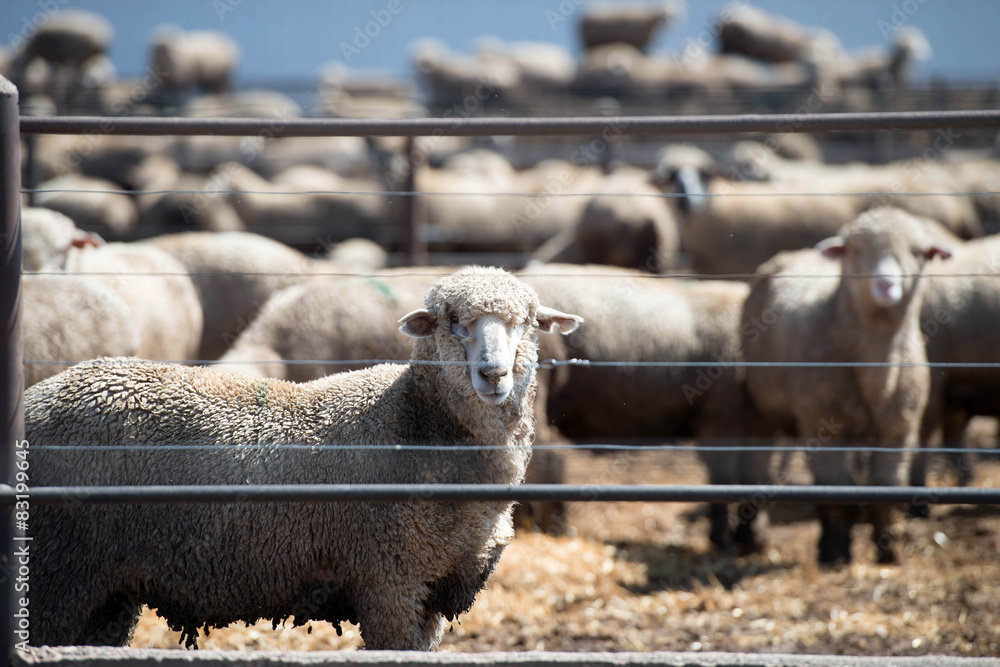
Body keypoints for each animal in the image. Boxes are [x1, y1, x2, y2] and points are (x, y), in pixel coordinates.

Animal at [26, 266, 582, 649]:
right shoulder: (390, 578)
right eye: (451, 322)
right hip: (58, 570)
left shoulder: (434, 591)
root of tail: (40, 397)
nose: (492, 373)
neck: (413, 425)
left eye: (528, 323)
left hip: (107, 592)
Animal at [742, 207, 952, 564]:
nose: (886, 284)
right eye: (856, 250)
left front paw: (888, 549)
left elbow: (886, 486)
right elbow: (836, 488)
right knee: (756, 464)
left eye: (918, 253)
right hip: (764, 411)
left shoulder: (899, 427)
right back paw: (750, 535)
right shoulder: (821, 426)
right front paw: (834, 550)